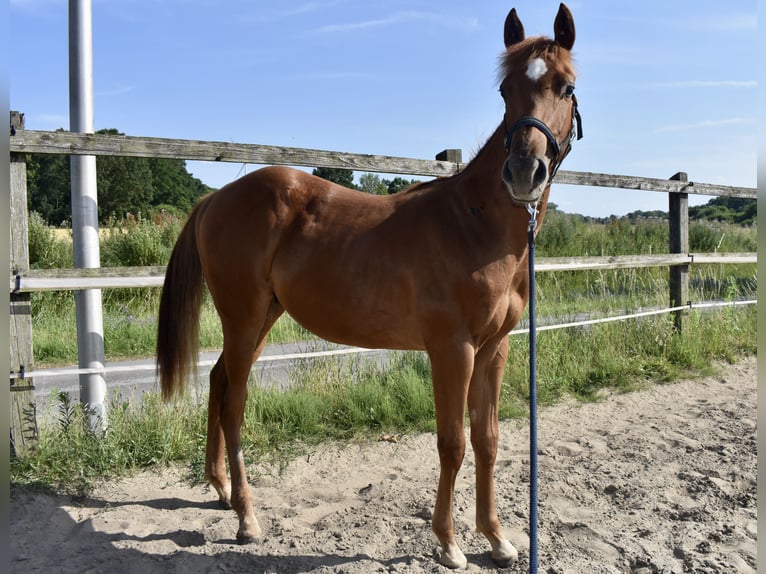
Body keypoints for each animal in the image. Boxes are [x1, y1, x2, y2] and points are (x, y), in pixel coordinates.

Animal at [156, 3, 581, 569]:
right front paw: (449, 543)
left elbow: (488, 440)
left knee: (219, 381)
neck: (474, 223)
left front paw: (497, 539)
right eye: (505, 89)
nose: (522, 172)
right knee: (234, 404)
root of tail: (216, 197)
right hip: (244, 319)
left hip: (262, 317)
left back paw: (221, 490)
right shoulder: (452, 350)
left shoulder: (495, 348)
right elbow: (453, 443)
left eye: (565, 86)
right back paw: (247, 518)